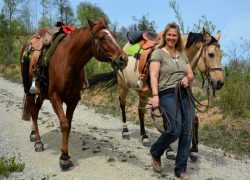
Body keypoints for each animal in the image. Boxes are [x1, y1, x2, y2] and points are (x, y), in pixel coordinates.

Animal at [20, 17, 128, 170]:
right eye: (102, 38)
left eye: (113, 35)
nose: (123, 59)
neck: (69, 62)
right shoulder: (55, 98)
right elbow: (64, 124)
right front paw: (64, 158)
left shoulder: (73, 100)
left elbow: (69, 124)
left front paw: (65, 154)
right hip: (30, 91)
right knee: (34, 113)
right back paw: (38, 142)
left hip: (40, 94)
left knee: (35, 109)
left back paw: (34, 134)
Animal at [118, 28, 224, 160]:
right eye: (211, 54)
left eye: (222, 55)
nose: (220, 83)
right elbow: (167, 122)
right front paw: (169, 150)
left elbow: (194, 119)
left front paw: (194, 150)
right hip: (123, 86)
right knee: (123, 104)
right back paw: (125, 131)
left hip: (143, 93)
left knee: (140, 110)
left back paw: (144, 137)